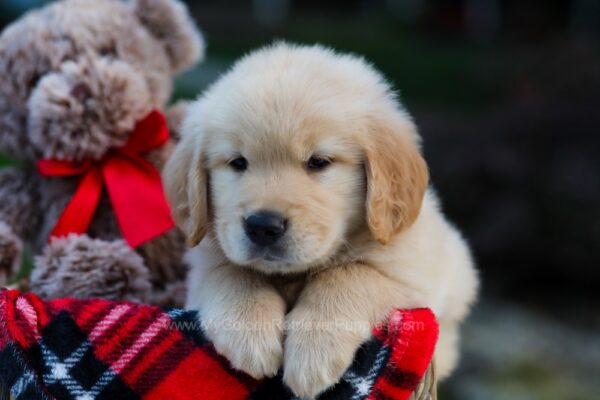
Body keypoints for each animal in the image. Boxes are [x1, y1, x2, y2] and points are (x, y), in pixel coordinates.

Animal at [165, 42, 478, 398]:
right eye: (238, 163)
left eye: (319, 162)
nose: (262, 226)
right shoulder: (204, 264)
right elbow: (232, 271)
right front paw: (249, 333)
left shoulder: (416, 277)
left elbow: (350, 274)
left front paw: (313, 352)